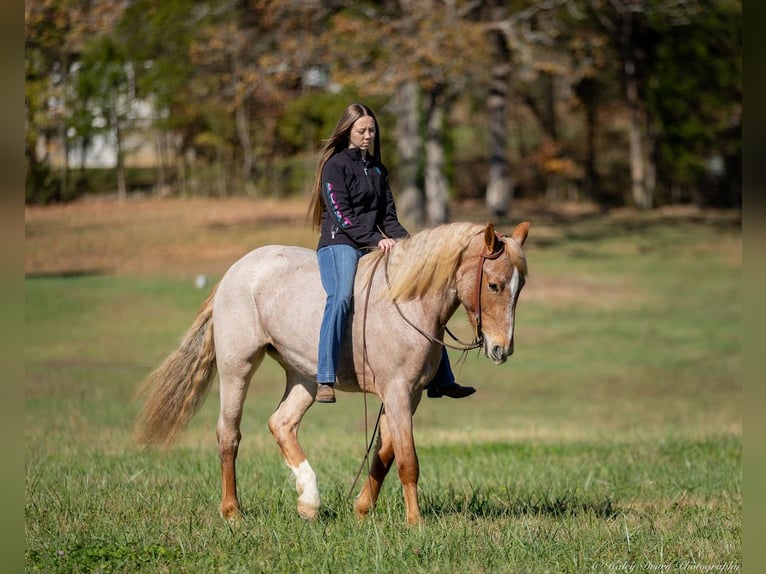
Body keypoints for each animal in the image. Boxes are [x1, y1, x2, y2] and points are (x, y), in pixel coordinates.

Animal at [135, 220, 532, 528]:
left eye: (520, 287)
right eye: (494, 285)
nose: (502, 349)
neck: (407, 304)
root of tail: (235, 272)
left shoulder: (409, 395)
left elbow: (385, 452)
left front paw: (362, 509)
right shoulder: (398, 392)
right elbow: (407, 460)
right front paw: (414, 522)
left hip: (304, 377)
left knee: (282, 423)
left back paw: (308, 501)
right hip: (238, 368)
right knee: (229, 435)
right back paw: (233, 512)